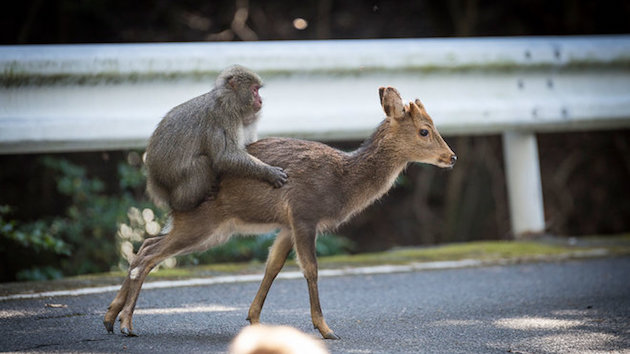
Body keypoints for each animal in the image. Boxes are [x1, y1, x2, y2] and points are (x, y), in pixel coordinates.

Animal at [105, 86, 460, 340]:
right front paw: (326, 329)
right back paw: (126, 324)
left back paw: (110, 317)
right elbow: (311, 269)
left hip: (209, 229)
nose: (452, 157)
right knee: (149, 255)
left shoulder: (287, 224)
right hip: (203, 222)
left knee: (145, 245)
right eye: (425, 130)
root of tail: (169, 194)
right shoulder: (304, 213)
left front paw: (254, 320)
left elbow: (273, 267)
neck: (341, 182)